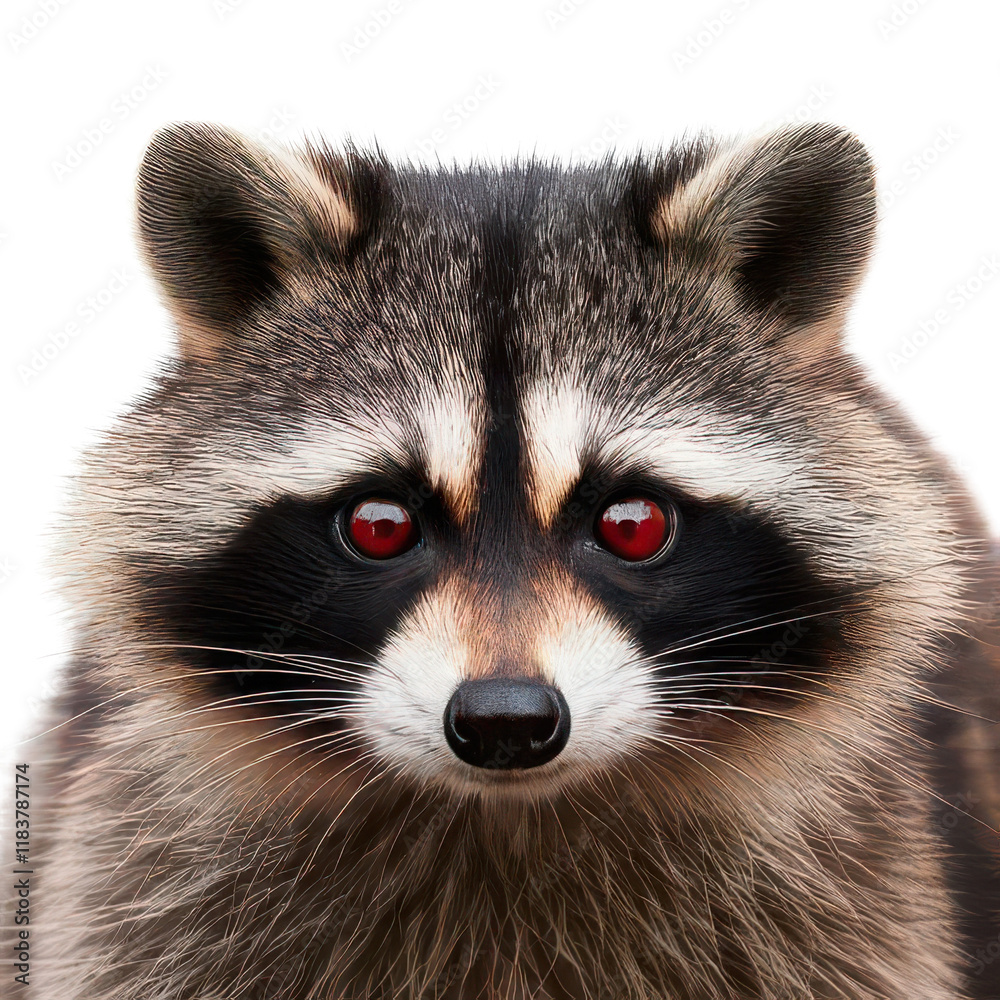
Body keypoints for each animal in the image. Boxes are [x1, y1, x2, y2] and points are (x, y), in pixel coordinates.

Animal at [22, 121, 1000, 1000]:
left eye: (633, 523)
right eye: (379, 524)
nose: (505, 720)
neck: (504, 819)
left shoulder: (853, 913)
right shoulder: (133, 889)